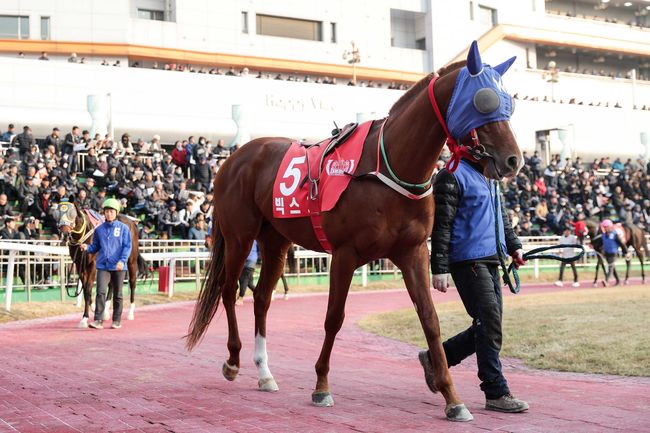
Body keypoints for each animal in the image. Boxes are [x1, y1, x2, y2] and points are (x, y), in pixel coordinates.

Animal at [184, 43, 520, 422]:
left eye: (509, 102)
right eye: (484, 102)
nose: (513, 160)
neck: (386, 168)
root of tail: (234, 157)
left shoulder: (413, 252)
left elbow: (430, 320)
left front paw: (452, 397)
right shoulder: (345, 254)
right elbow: (334, 318)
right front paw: (321, 386)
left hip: (276, 239)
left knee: (262, 299)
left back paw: (265, 372)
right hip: (240, 235)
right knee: (228, 291)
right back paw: (233, 360)